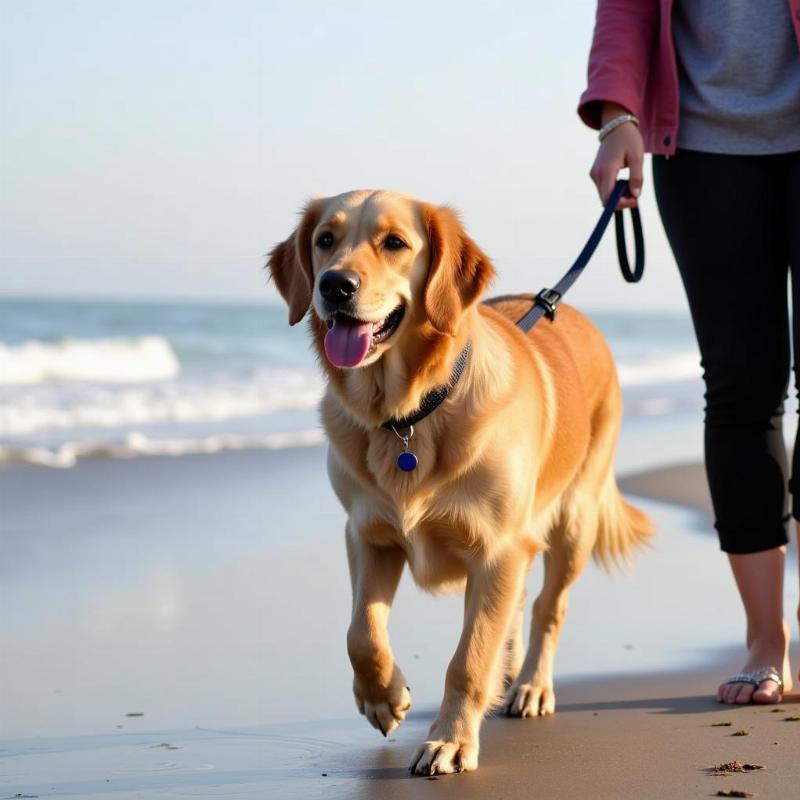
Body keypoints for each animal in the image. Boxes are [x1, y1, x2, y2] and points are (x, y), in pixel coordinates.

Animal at [266, 189, 652, 776]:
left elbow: (468, 659)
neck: (409, 415)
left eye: (395, 243)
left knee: (548, 608)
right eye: (324, 240)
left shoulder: (498, 549)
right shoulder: (368, 534)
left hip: (574, 520)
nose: (334, 285)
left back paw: (532, 686)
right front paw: (382, 697)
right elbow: (362, 633)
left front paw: (449, 740)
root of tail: (572, 310)